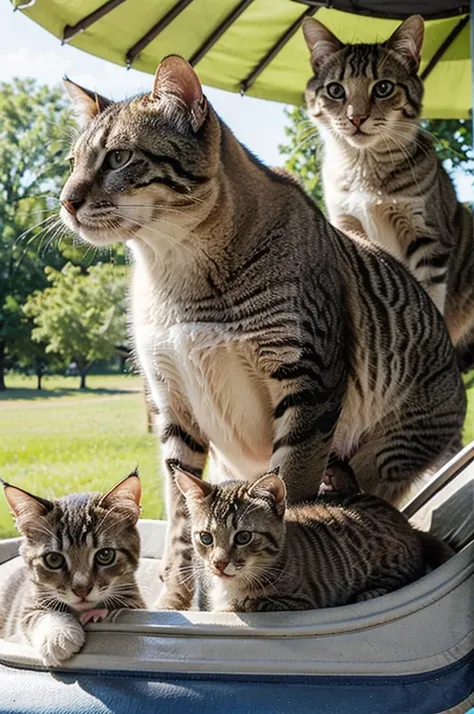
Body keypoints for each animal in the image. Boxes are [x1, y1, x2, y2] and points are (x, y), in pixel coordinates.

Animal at [0, 470, 144, 664]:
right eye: (53, 559)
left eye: (105, 555)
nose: (81, 590)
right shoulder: (30, 602)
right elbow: (35, 615)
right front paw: (58, 635)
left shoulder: (137, 602)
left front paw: (97, 613)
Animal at [302, 15, 474, 350]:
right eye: (335, 90)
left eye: (382, 87)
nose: (356, 118)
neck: (365, 174)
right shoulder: (347, 223)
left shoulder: (427, 238)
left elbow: (429, 298)